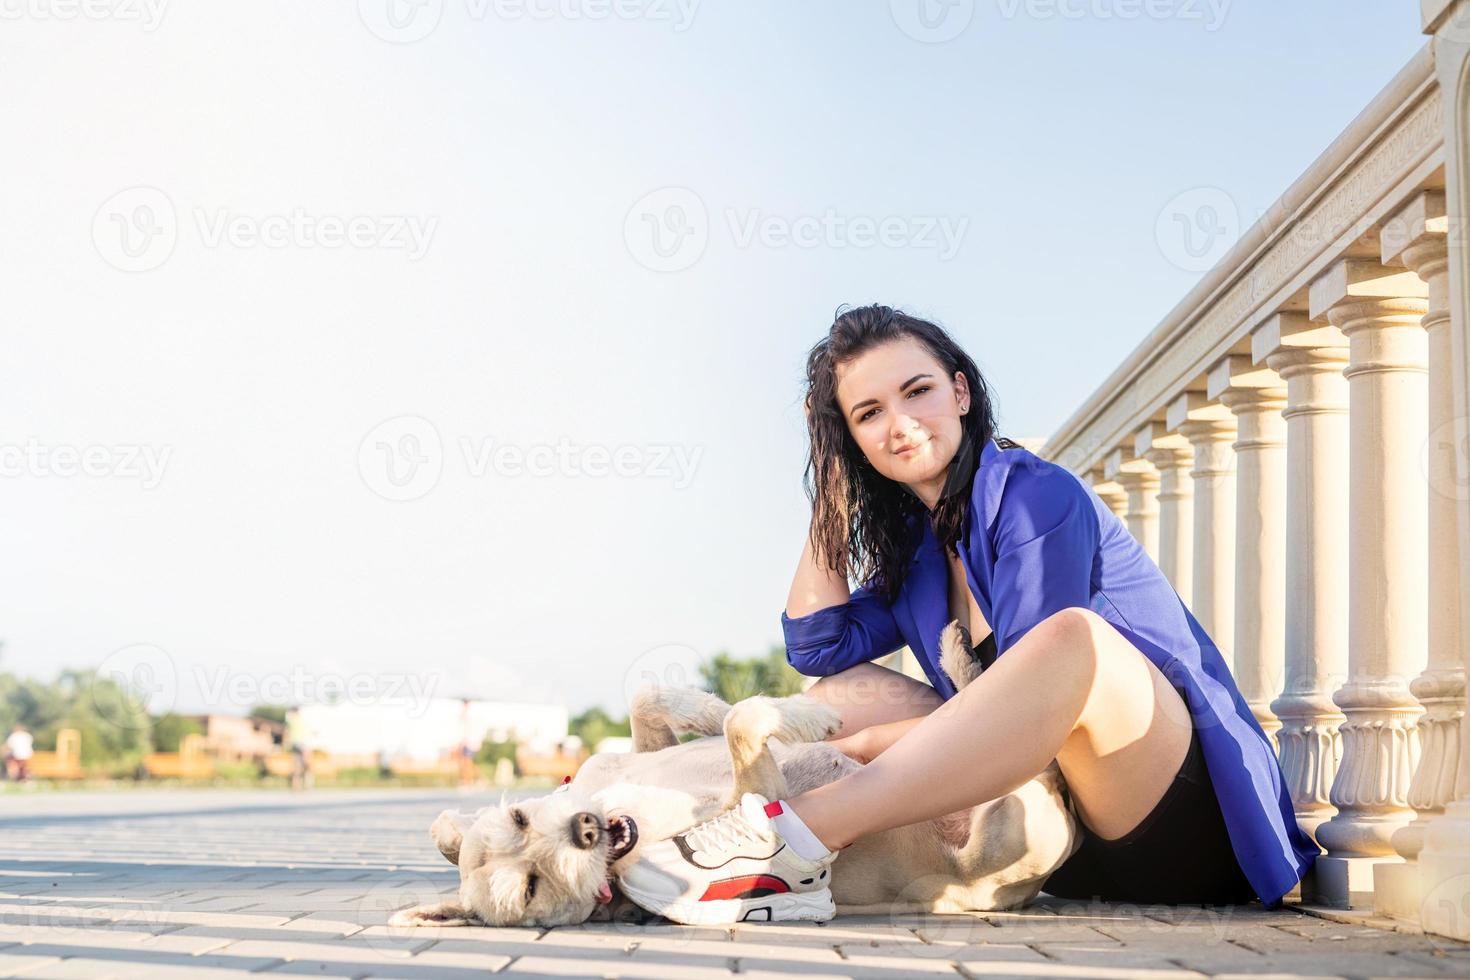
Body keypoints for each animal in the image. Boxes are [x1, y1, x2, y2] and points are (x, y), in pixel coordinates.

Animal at [391, 620, 1081, 928]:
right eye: (530, 888)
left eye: (517, 816)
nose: (586, 830)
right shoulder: (758, 795)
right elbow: (744, 725)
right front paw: (804, 714)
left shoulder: (637, 751)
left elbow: (654, 699)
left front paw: (708, 706)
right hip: (1010, 825)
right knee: (1039, 761)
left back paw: (955, 655)